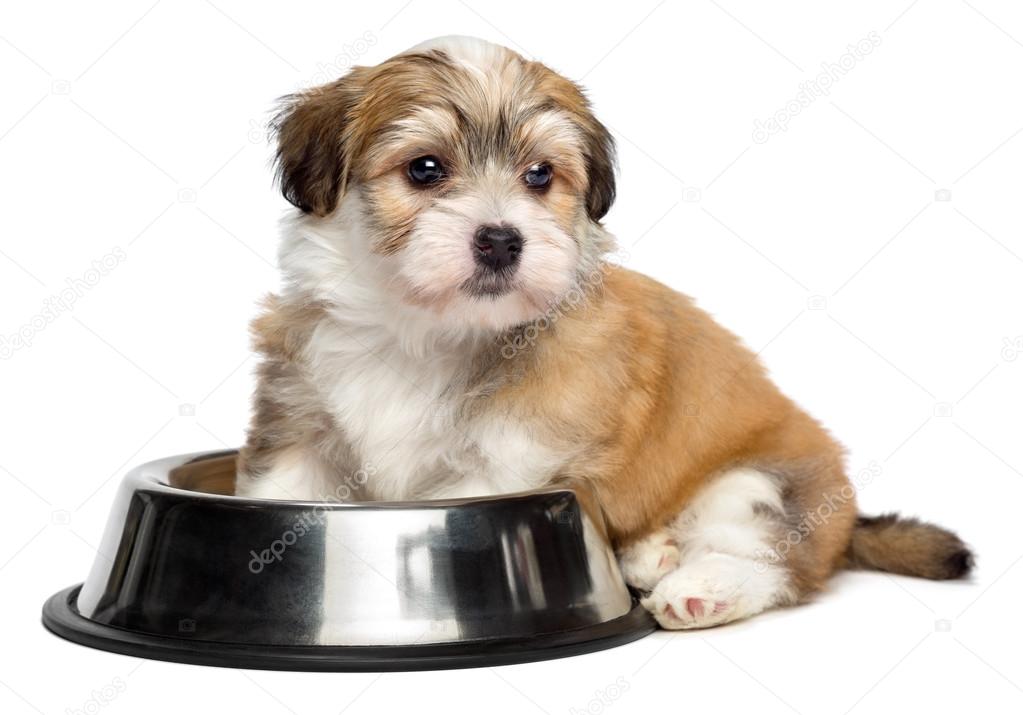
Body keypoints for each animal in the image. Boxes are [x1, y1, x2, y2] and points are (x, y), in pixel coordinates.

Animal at [234, 36, 973, 630]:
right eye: (425, 168)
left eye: (540, 176)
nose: (501, 238)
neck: (422, 331)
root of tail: (846, 516)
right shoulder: (301, 433)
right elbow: (277, 497)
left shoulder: (503, 462)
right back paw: (650, 552)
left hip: (761, 483)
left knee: (768, 555)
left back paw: (700, 587)